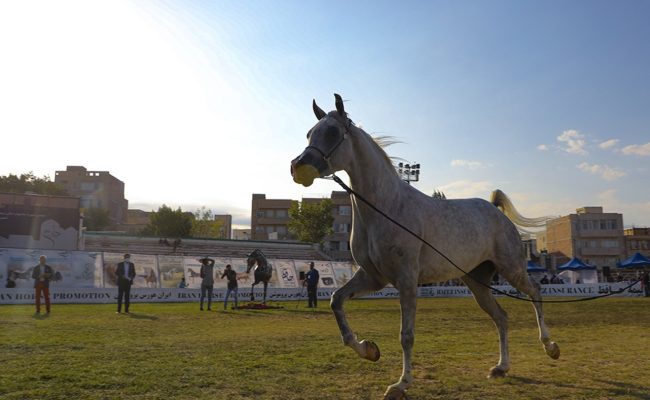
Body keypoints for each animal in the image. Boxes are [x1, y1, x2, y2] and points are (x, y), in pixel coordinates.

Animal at [288, 94, 556, 400]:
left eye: (332, 132)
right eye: (309, 133)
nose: (297, 167)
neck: (385, 208)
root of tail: (495, 210)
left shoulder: (406, 280)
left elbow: (406, 335)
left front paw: (401, 384)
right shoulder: (372, 277)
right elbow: (336, 301)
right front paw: (369, 349)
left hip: (512, 268)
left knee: (535, 292)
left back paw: (550, 346)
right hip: (477, 282)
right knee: (501, 317)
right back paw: (501, 368)